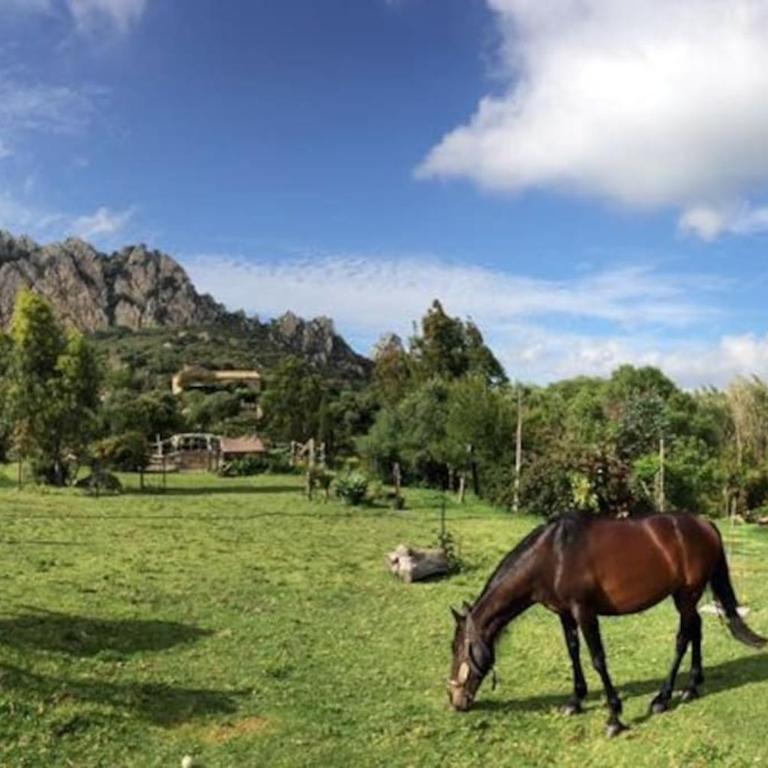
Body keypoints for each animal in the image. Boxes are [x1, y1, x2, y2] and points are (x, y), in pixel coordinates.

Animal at [447, 512, 766, 736]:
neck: (553, 555)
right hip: (686, 597)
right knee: (696, 629)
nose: (455, 699)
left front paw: (614, 717)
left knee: (683, 637)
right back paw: (691, 687)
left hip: (687, 595)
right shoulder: (565, 614)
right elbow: (573, 652)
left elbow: (597, 659)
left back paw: (662, 698)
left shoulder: (585, 612)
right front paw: (575, 701)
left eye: (457, 648)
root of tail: (705, 523)